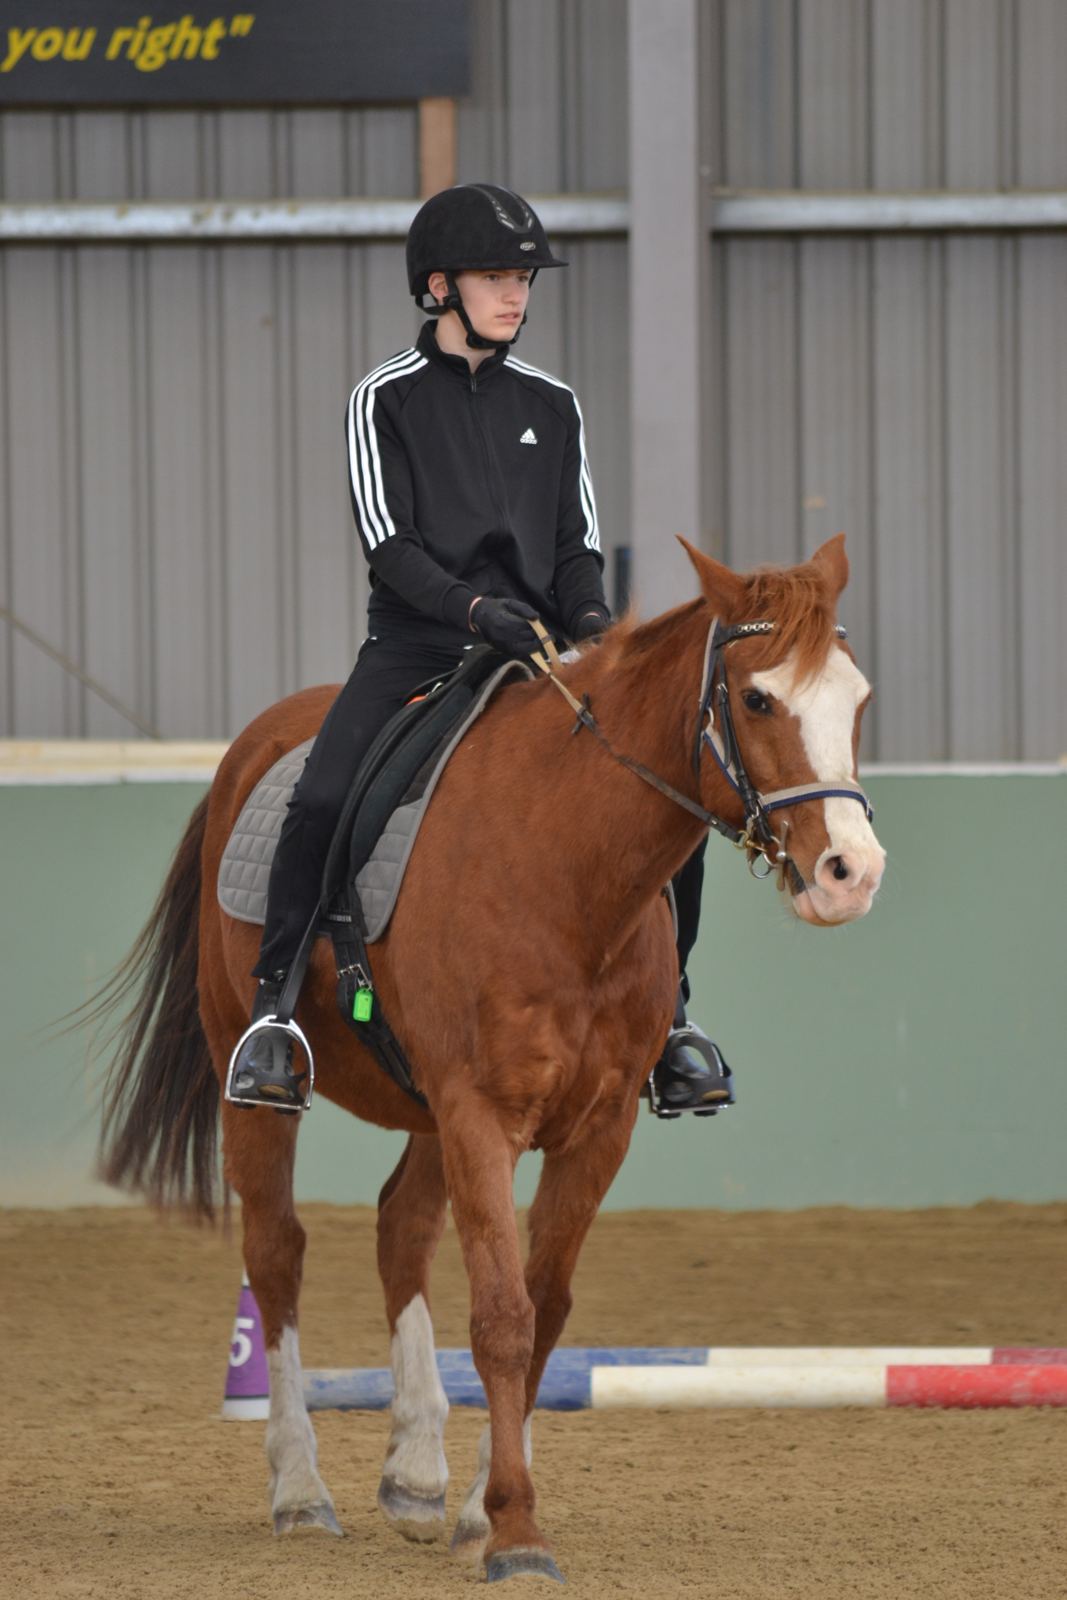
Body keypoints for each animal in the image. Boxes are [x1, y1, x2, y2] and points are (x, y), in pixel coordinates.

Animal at [96, 534, 884, 1583]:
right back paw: (300, 1490)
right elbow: (502, 1318)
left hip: (429, 1110)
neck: (565, 870)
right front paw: (515, 1533)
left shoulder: (596, 1129)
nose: (851, 874)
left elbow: (543, 1309)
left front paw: (479, 1503)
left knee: (399, 1229)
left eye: (856, 698)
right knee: (277, 1253)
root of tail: (256, 744)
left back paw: (415, 1473)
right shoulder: (480, 1114)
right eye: (756, 700)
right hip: (258, 1081)